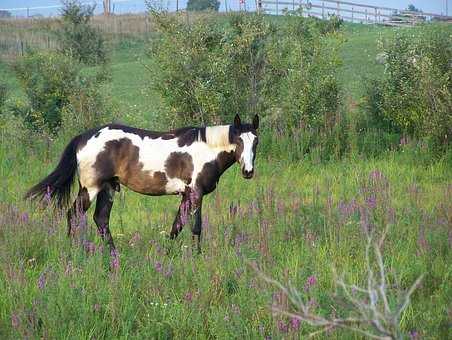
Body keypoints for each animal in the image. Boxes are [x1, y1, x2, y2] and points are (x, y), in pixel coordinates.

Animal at [26, 115, 260, 254]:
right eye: (239, 140)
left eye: (256, 141)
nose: (248, 172)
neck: (205, 150)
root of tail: (84, 137)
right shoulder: (196, 192)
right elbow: (196, 227)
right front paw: (197, 257)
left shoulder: (185, 195)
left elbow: (177, 226)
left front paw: (167, 254)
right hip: (90, 188)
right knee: (73, 216)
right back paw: (72, 252)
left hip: (108, 188)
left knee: (101, 220)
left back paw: (114, 256)